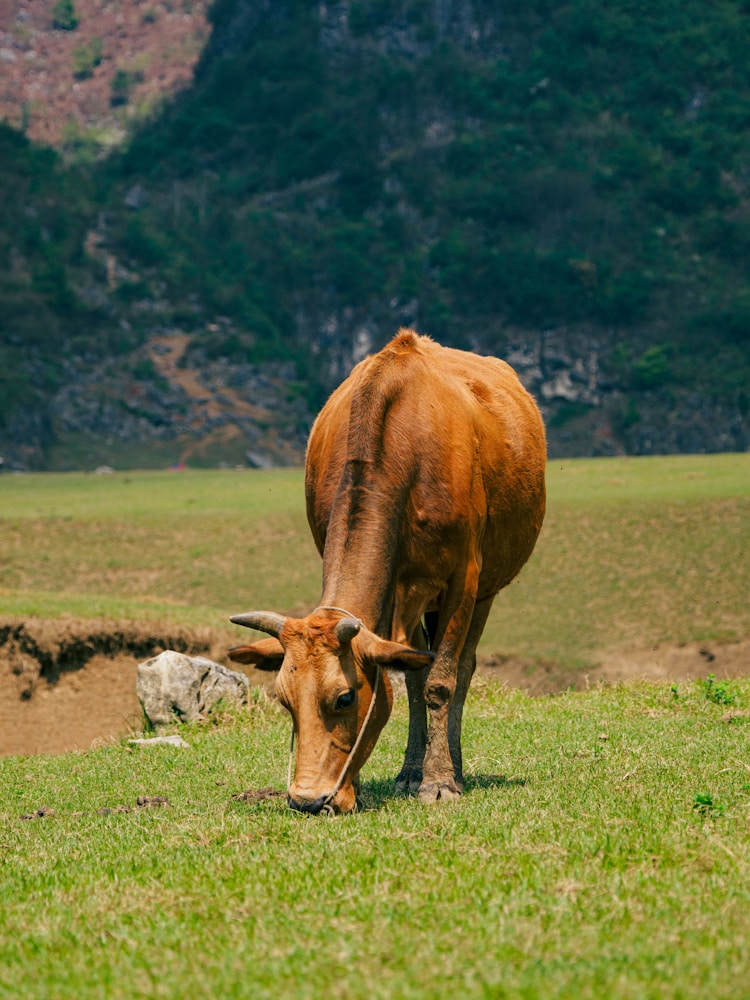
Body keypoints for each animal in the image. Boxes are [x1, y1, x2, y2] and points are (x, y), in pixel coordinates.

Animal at [229, 328, 548, 812]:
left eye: (344, 698)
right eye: (284, 701)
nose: (308, 799)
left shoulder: (462, 580)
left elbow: (440, 681)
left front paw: (440, 781)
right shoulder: (396, 592)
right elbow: (413, 677)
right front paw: (406, 775)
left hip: (485, 588)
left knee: (463, 668)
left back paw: (453, 766)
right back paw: (413, 770)